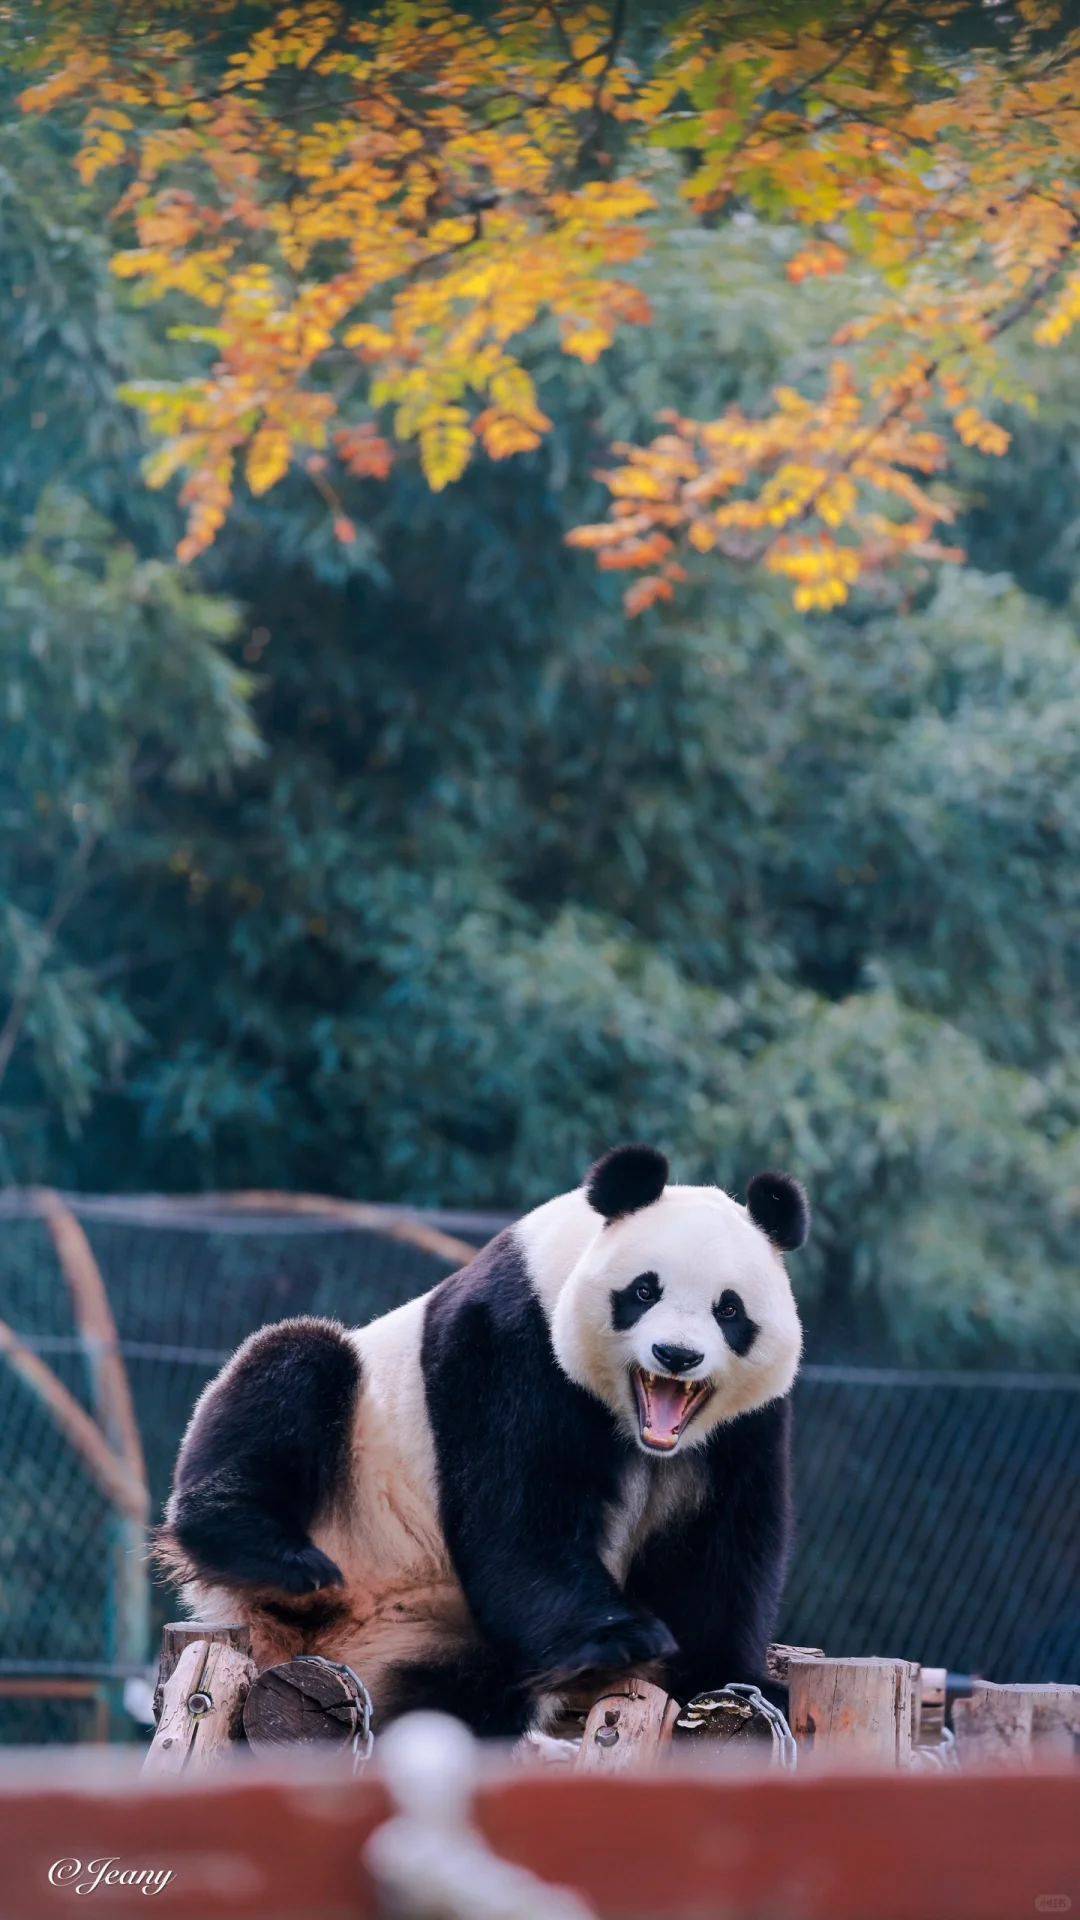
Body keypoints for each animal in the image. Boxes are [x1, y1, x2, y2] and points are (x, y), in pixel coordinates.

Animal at [157, 1136, 799, 1743]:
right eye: (644, 1292)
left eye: (728, 1310)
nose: (676, 1355)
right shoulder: (512, 1343)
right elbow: (519, 1512)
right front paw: (626, 1638)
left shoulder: (745, 1429)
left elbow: (721, 1549)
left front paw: (736, 1679)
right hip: (353, 1487)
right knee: (294, 1368)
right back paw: (278, 1556)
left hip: (426, 1634)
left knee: (464, 1694)